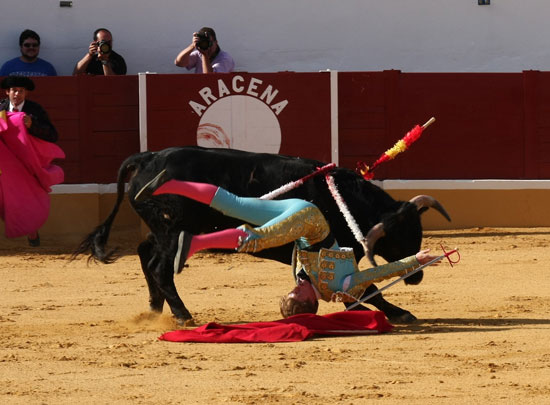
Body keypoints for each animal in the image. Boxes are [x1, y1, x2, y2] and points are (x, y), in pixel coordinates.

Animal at [73, 147, 452, 324]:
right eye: (402, 234)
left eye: (418, 231)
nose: (417, 278)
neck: (347, 200)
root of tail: (148, 158)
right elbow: (368, 289)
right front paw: (400, 313)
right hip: (171, 229)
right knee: (161, 267)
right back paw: (181, 313)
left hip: (163, 229)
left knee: (144, 253)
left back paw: (154, 308)